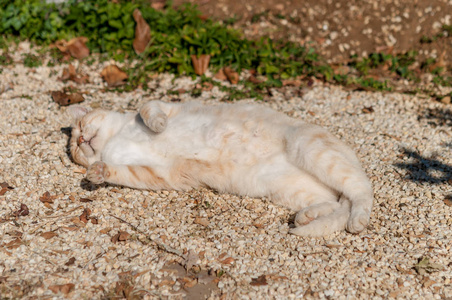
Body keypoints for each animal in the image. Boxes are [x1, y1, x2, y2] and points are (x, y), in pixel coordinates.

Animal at [66, 101, 370, 237]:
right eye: (75, 150)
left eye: (80, 127)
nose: (79, 141)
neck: (115, 139)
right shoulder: (155, 174)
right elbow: (119, 172)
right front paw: (97, 173)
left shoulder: (166, 105)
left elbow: (147, 108)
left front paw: (157, 126)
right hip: (288, 189)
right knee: (335, 203)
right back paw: (307, 217)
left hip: (312, 150)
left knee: (361, 191)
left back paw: (358, 220)